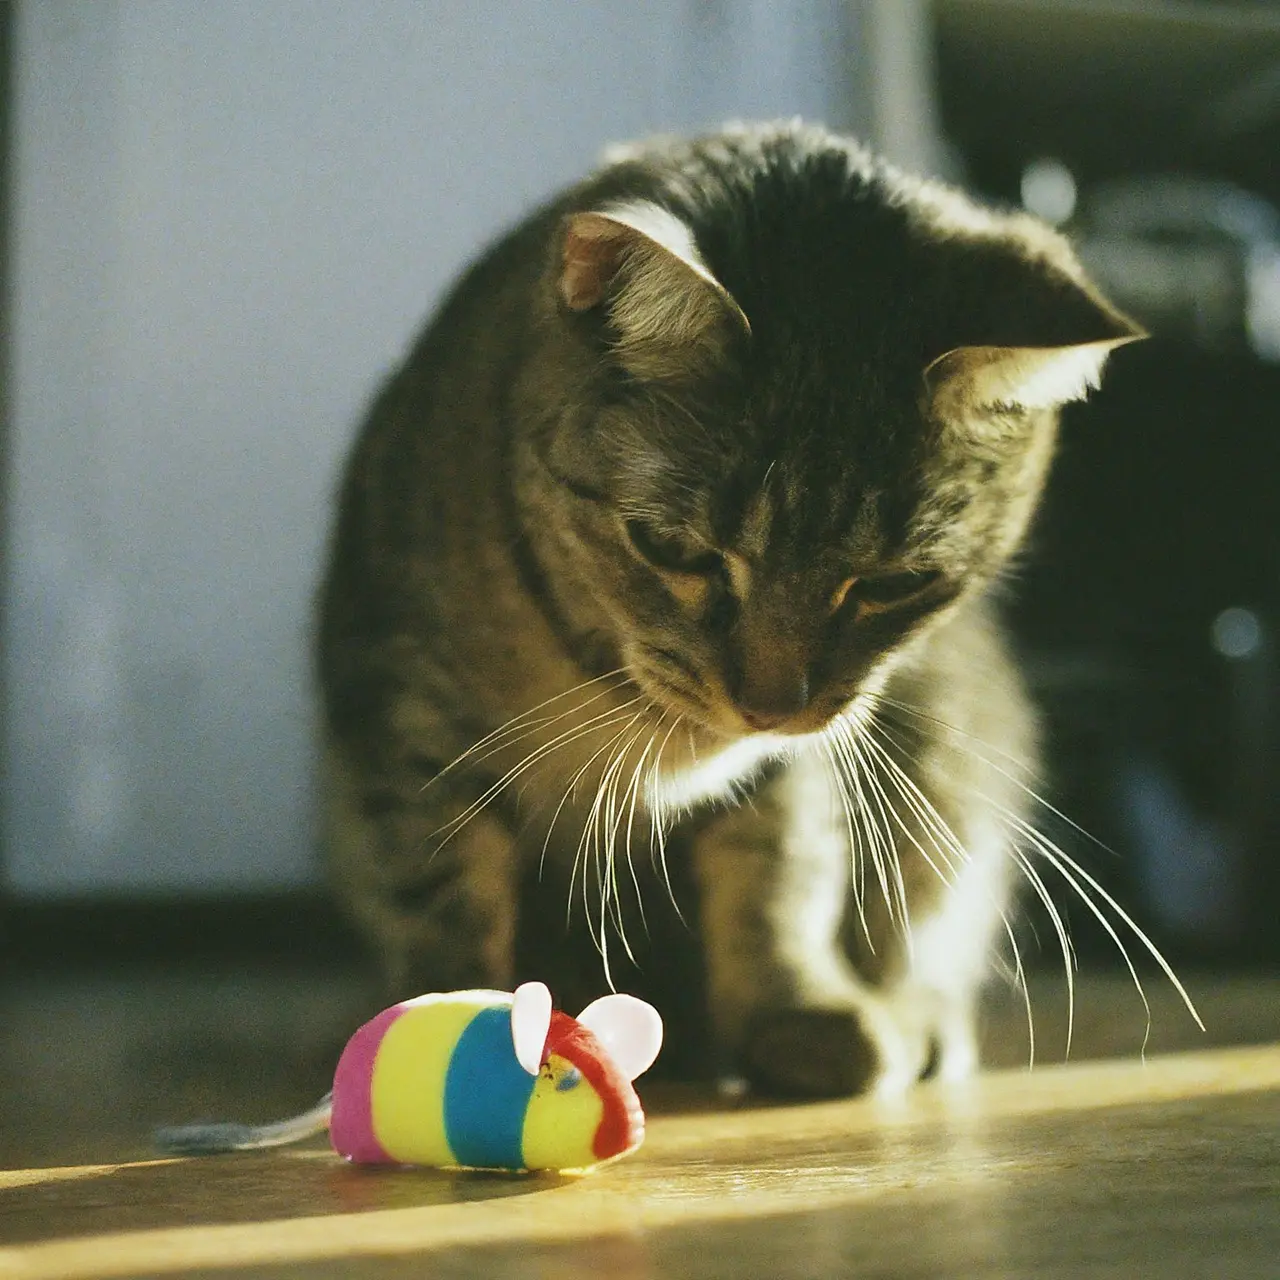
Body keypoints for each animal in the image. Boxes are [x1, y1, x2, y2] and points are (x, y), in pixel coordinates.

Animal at [317, 122, 1141, 1100]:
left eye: (893, 583)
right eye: (675, 550)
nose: (771, 706)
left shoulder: (799, 766)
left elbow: (779, 870)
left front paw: (801, 1014)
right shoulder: (404, 712)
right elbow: (437, 883)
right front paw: (457, 1025)